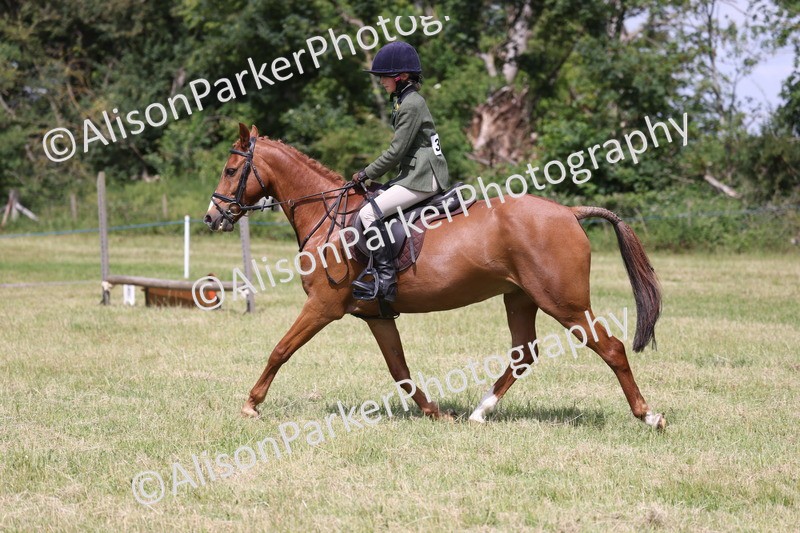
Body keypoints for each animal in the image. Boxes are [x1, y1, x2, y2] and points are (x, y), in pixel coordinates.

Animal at [204, 123, 666, 430]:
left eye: (230, 170)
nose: (212, 217)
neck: (327, 216)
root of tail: (569, 213)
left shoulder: (322, 306)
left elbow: (280, 350)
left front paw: (251, 404)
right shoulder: (377, 316)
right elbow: (400, 369)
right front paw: (435, 413)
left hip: (564, 302)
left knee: (611, 348)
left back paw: (648, 416)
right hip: (520, 297)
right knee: (523, 354)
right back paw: (479, 412)